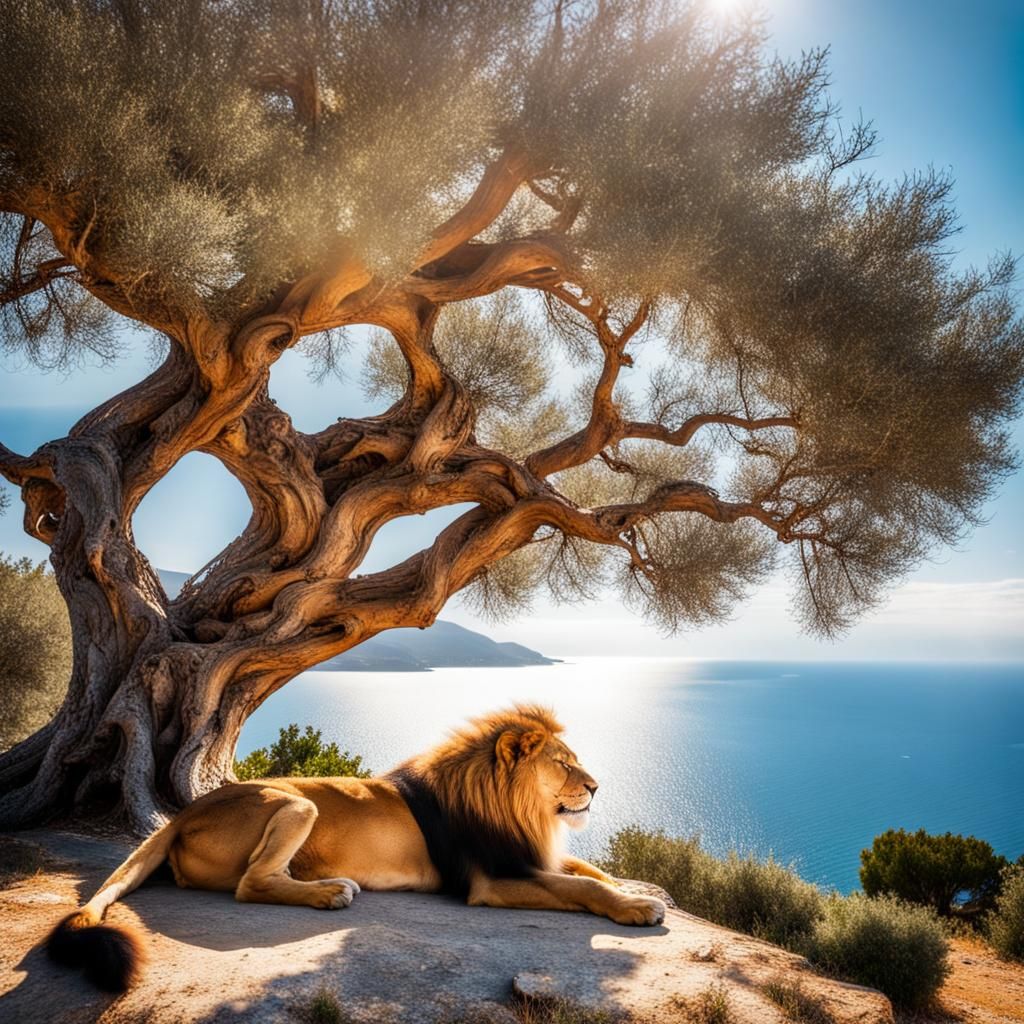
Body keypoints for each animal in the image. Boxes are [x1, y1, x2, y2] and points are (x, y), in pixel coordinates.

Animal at [47, 704, 666, 990]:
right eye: (563, 764)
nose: (596, 787)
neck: (520, 809)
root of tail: (183, 814)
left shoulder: (528, 855)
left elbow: (589, 868)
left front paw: (645, 887)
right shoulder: (492, 879)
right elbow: (579, 883)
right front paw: (639, 908)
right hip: (297, 804)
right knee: (252, 884)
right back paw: (330, 893)